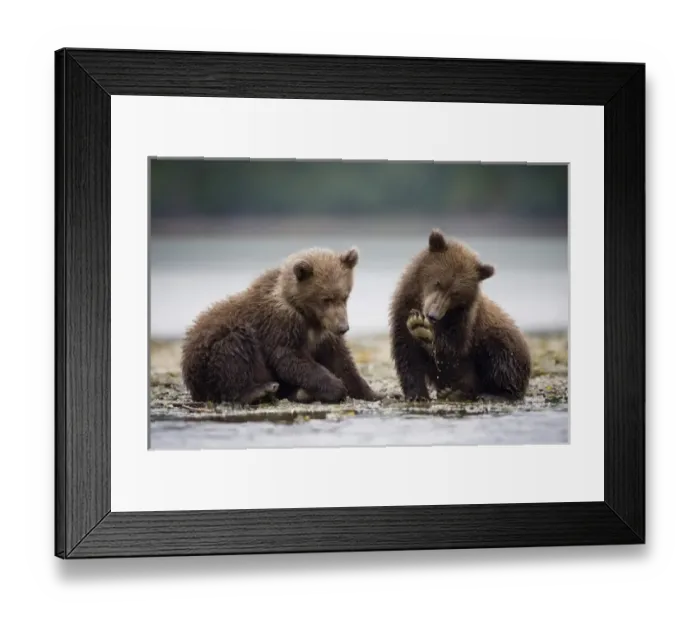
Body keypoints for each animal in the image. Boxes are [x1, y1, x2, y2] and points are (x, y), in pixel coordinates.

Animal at [180, 246, 380, 406]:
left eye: (345, 296)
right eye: (326, 299)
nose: (343, 327)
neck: (307, 316)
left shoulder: (323, 333)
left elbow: (341, 360)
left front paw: (372, 393)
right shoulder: (279, 325)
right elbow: (289, 358)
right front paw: (336, 387)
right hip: (210, 354)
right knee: (234, 350)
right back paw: (259, 391)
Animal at [389, 229, 531, 402]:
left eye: (455, 293)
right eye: (438, 282)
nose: (433, 314)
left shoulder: (463, 321)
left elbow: (452, 353)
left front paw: (423, 331)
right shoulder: (402, 310)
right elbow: (407, 355)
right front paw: (416, 394)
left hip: (503, 341)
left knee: (502, 362)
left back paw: (487, 393)